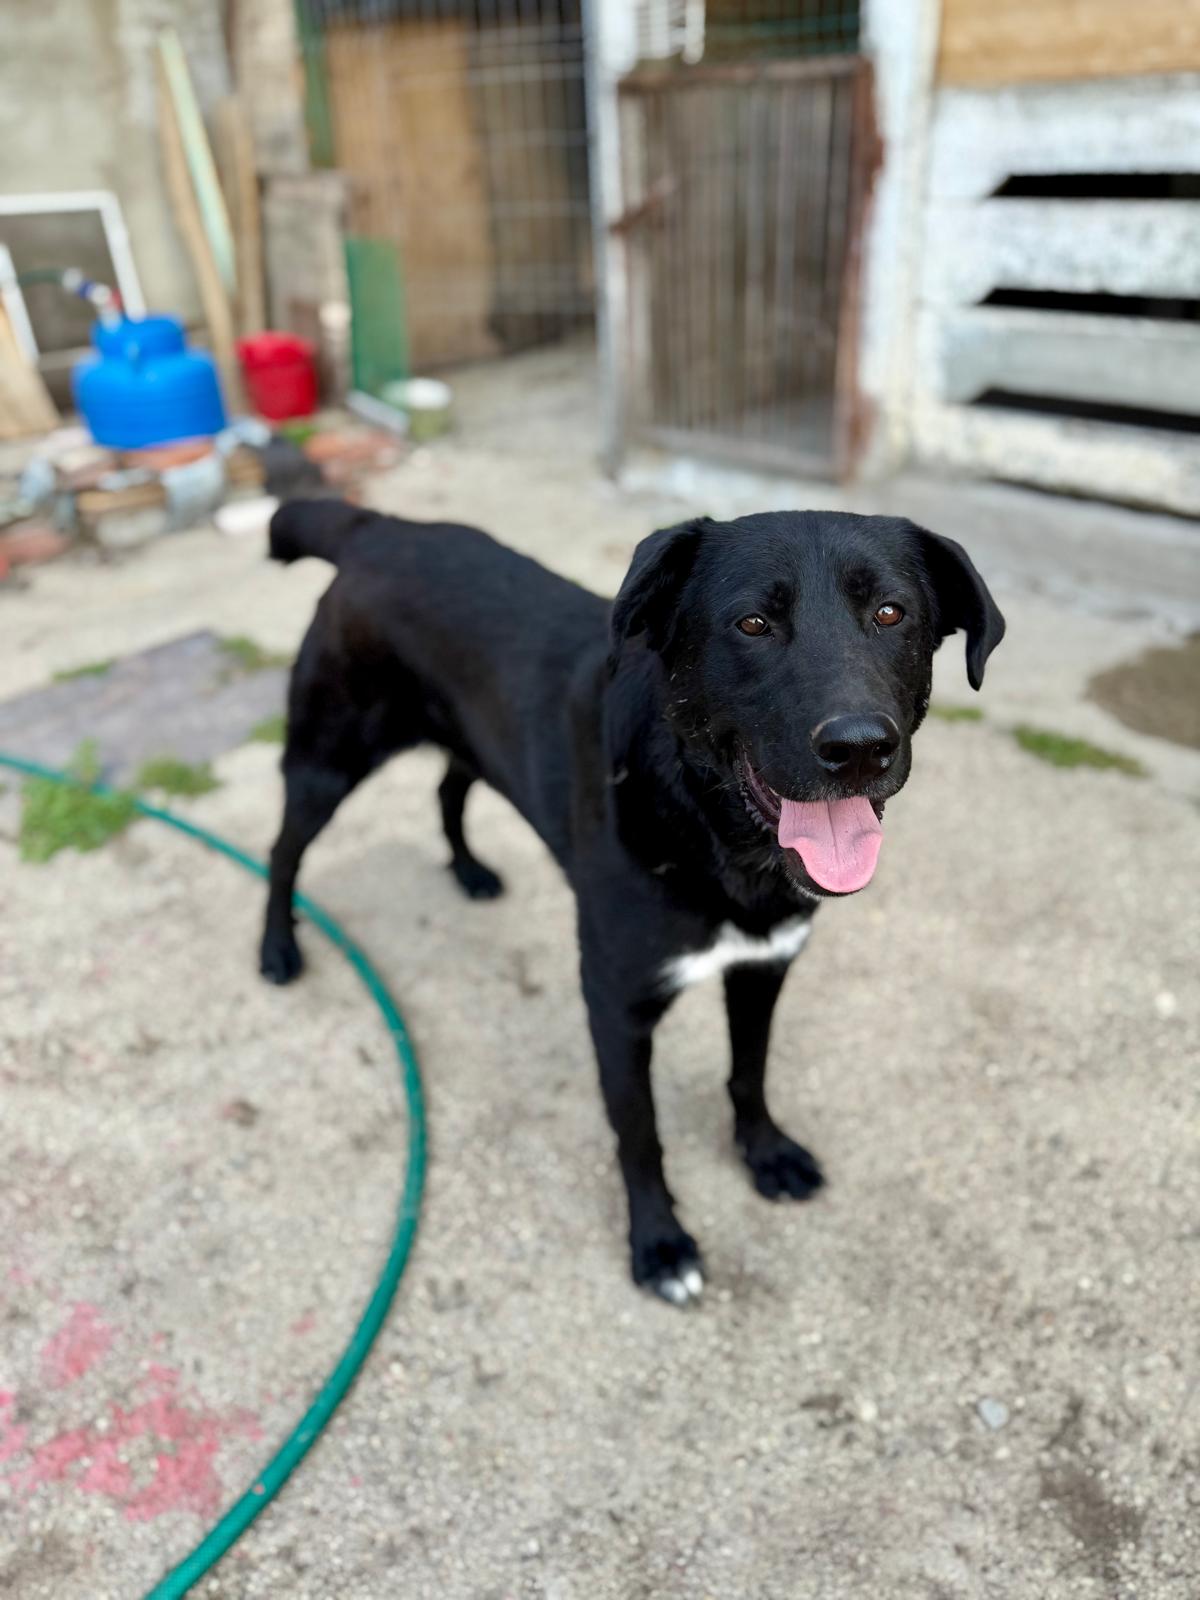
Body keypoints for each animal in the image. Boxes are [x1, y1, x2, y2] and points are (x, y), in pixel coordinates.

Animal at [260, 501, 1004, 1304]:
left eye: (890, 613)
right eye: (752, 624)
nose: (861, 746)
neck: (718, 842)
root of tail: (379, 527)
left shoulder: (764, 968)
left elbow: (750, 1072)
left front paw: (765, 1153)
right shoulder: (616, 1004)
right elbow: (639, 1133)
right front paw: (660, 1244)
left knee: (448, 786)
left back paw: (470, 871)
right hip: (327, 758)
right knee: (283, 850)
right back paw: (278, 948)